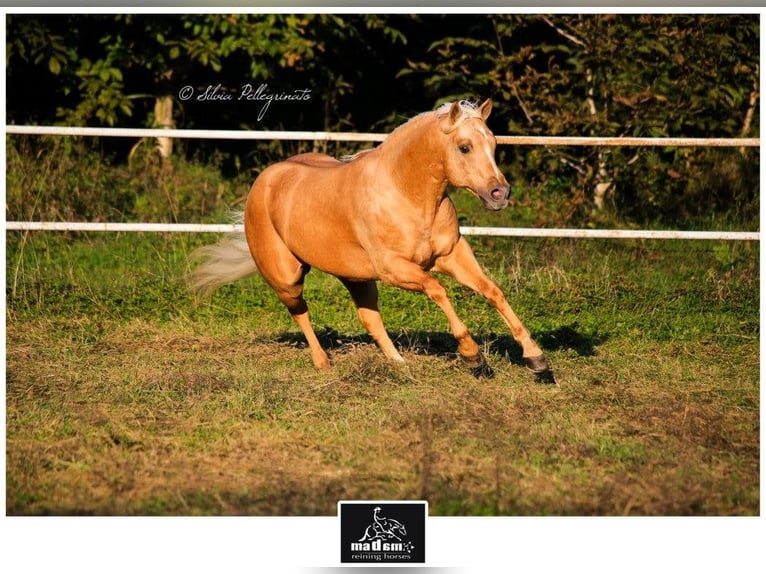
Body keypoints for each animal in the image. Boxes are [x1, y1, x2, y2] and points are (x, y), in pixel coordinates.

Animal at [190, 99, 554, 382]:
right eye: (465, 147)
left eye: (494, 145)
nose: (499, 193)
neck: (404, 192)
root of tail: (263, 182)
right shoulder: (395, 269)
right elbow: (438, 289)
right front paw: (473, 357)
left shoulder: (451, 255)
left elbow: (493, 291)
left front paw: (537, 361)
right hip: (287, 277)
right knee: (300, 311)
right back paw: (323, 363)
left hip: (356, 277)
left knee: (369, 318)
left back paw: (400, 364)